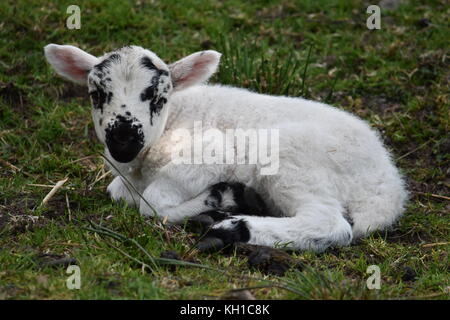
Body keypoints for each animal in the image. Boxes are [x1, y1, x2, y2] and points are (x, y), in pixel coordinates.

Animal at [44, 43, 408, 252]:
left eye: (159, 98)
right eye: (96, 94)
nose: (123, 140)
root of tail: (387, 184)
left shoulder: (212, 152)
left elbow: (154, 202)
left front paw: (219, 198)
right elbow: (118, 192)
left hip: (292, 162)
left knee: (329, 223)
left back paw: (231, 227)